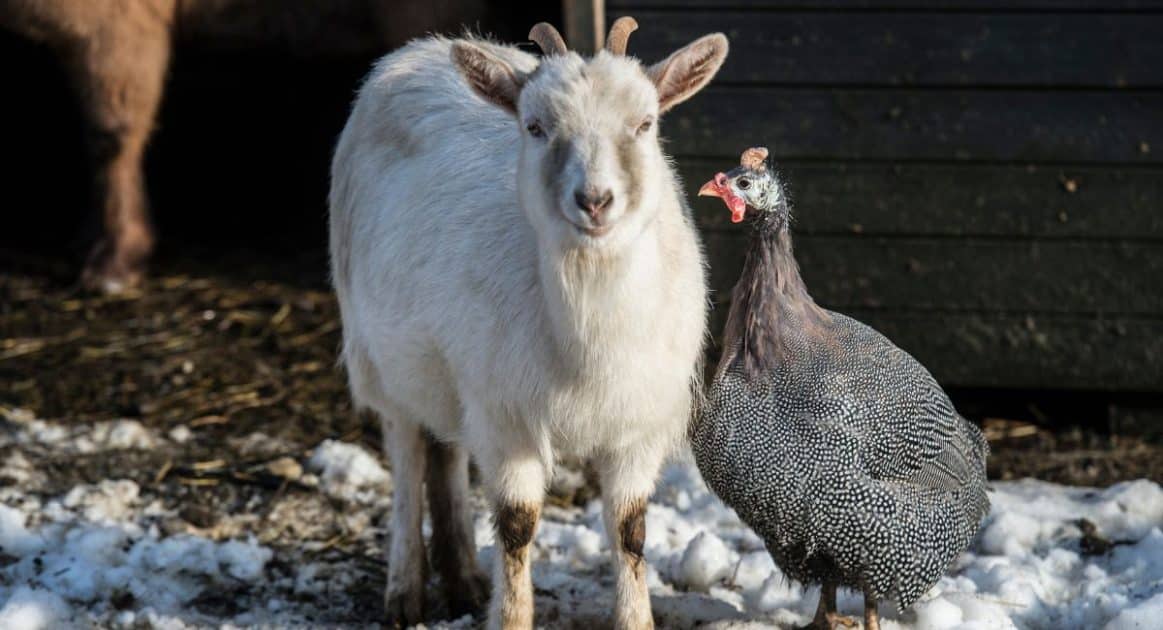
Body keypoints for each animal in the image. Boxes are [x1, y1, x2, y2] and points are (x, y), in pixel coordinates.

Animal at [329, 17, 727, 629]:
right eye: (535, 128)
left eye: (645, 123)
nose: (595, 201)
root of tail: (422, 48)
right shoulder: (505, 414)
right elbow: (517, 527)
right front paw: (511, 615)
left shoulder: (638, 422)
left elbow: (630, 529)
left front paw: (634, 617)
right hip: (379, 354)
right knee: (407, 455)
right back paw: (405, 588)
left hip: (445, 368)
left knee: (445, 451)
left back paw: (465, 579)